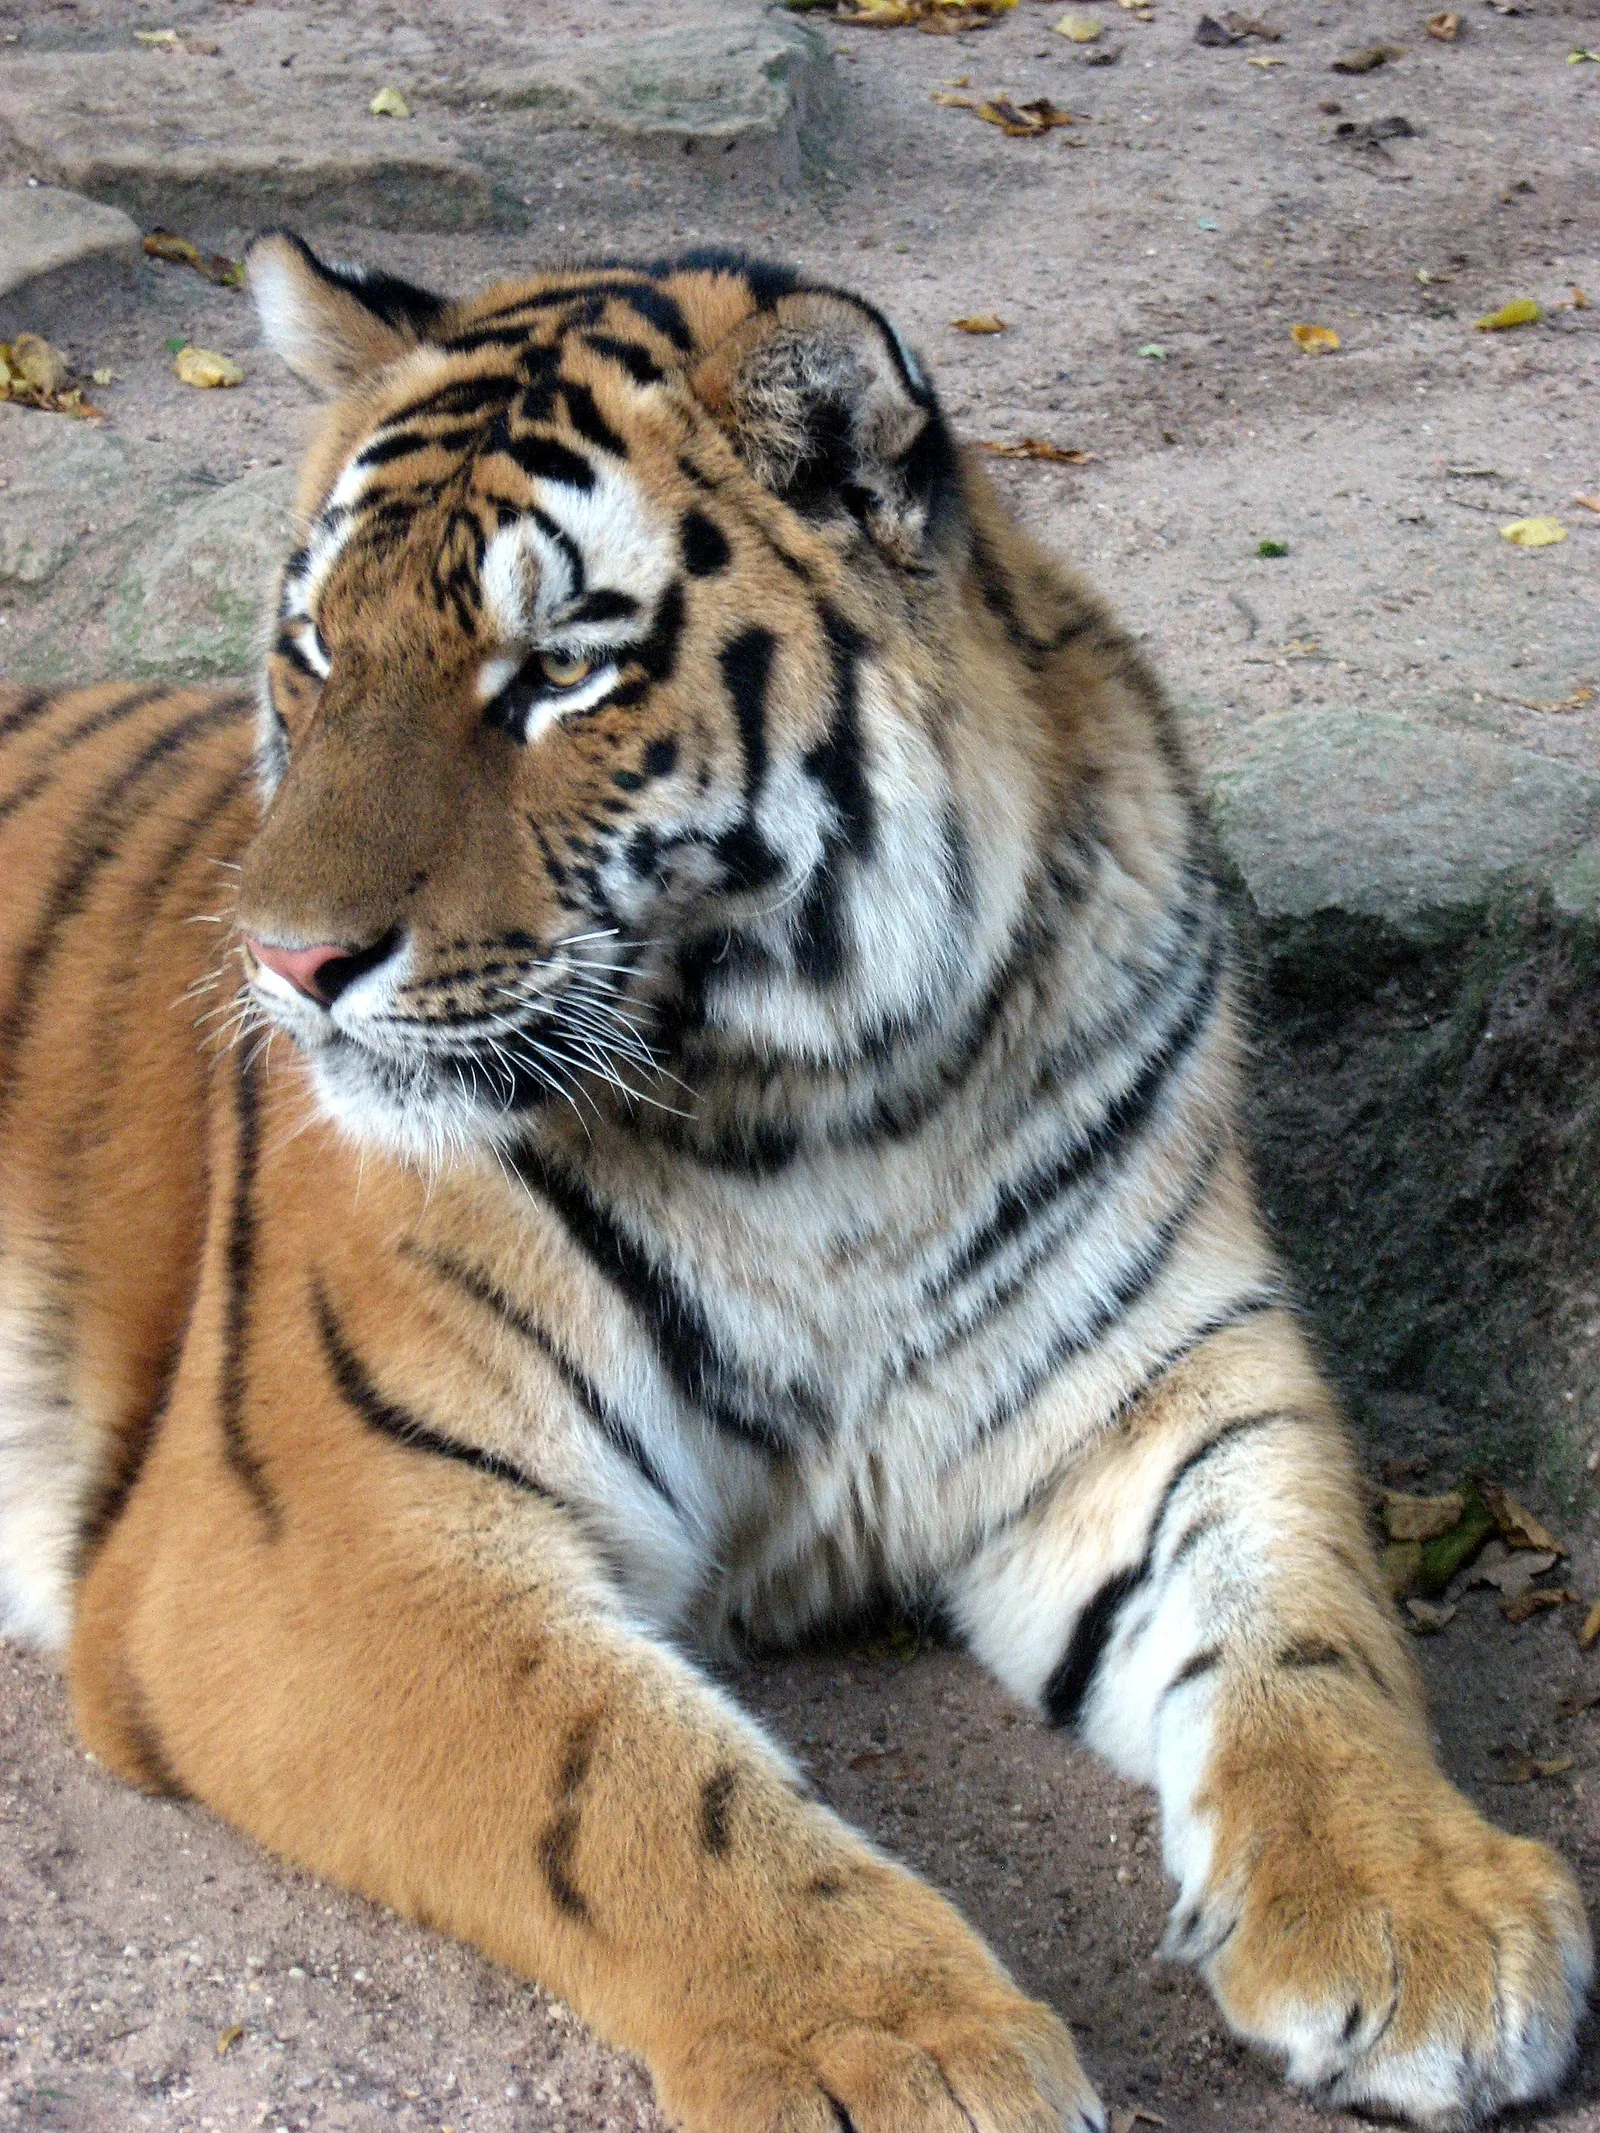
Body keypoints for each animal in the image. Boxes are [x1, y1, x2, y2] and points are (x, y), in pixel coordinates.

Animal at [0, 231, 1588, 2132]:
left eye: (555, 674)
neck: (823, 1106)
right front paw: (908, 2050)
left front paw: (1424, 1910)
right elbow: (626, 1774)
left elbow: (1312, 1627)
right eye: (314, 652)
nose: (287, 962)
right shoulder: (318, 1527)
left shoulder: (1164, 1391)